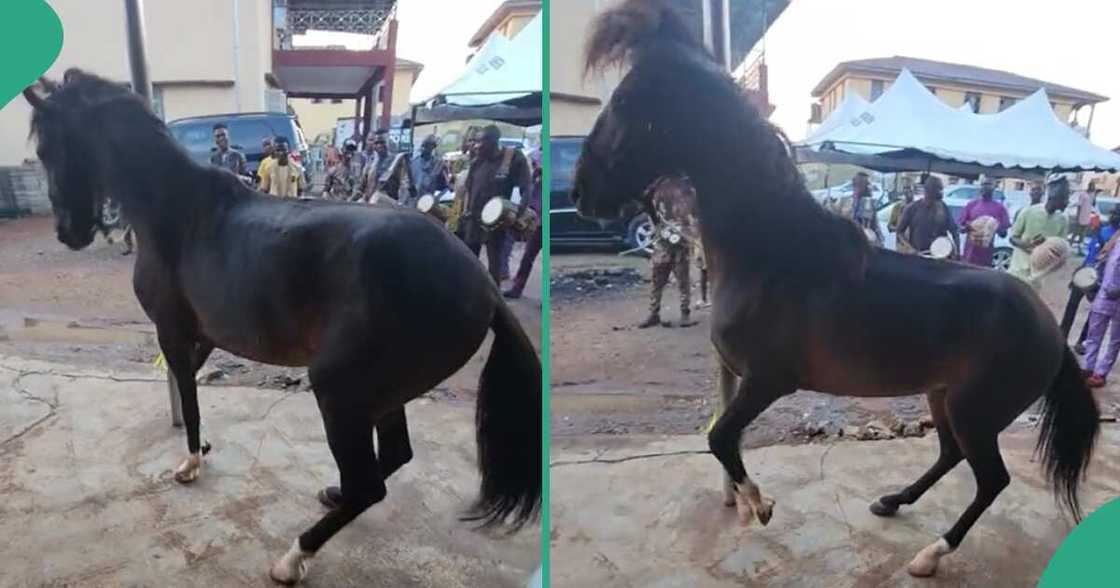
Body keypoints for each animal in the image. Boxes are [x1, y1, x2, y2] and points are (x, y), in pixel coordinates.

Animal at [21, 70, 537, 582]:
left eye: (46, 150)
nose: (68, 232)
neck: (178, 214)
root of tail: (483, 285)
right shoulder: (203, 337)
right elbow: (192, 389)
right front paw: (201, 449)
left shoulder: (172, 330)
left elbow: (187, 397)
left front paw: (190, 462)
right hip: (382, 395)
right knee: (390, 459)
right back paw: (333, 495)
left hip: (339, 390)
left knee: (369, 486)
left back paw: (294, 556)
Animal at [573, 0, 1097, 577]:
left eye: (625, 100)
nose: (579, 191)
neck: (773, 256)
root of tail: (1052, 331)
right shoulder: (744, 378)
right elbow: (720, 436)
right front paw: (746, 502)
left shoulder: (768, 380)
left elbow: (719, 437)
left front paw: (759, 504)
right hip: (944, 398)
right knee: (949, 455)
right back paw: (892, 501)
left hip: (974, 412)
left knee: (991, 480)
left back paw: (930, 554)